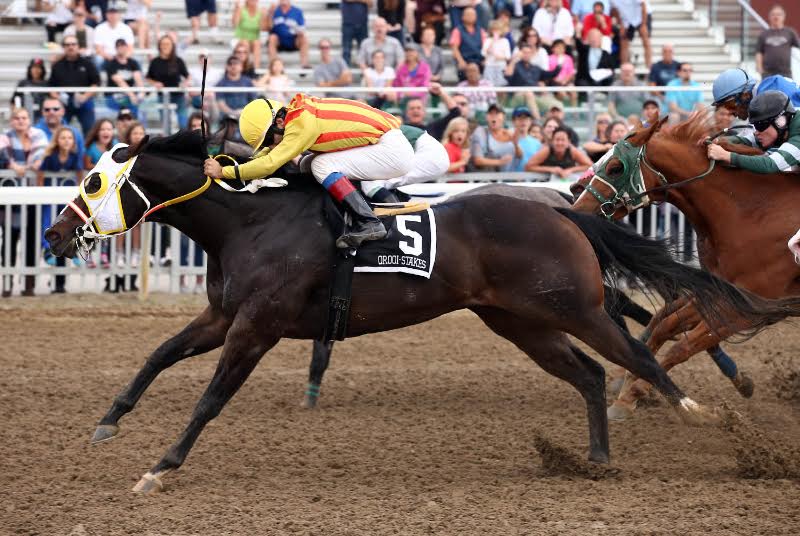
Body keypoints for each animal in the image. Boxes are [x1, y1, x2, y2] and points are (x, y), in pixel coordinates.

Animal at [570, 113, 800, 419]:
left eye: (616, 167)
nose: (577, 207)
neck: (753, 212)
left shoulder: (749, 308)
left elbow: (683, 345)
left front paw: (631, 395)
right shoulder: (720, 289)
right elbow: (665, 325)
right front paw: (631, 381)